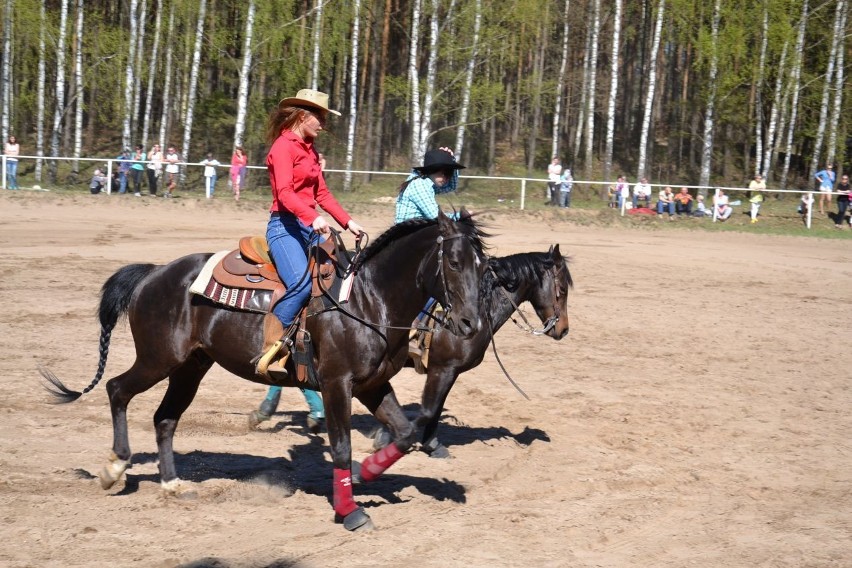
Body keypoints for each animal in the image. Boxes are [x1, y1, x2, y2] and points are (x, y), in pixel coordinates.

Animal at [43, 211, 490, 532]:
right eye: (453, 262)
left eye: (483, 266)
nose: (471, 324)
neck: (367, 300)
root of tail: (154, 273)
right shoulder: (337, 384)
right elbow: (342, 446)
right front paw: (350, 512)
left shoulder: (373, 384)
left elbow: (405, 433)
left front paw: (366, 473)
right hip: (158, 358)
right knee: (117, 389)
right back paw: (114, 467)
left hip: (190, 367)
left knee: (165, 418)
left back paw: (172, 484)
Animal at [372, 244, 572, 458]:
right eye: (562, 289)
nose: (564, 329)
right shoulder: (442, 369)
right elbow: (428, 410)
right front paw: (388, 437)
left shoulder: (449, 372)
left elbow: (436, 409)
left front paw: (432, 445)